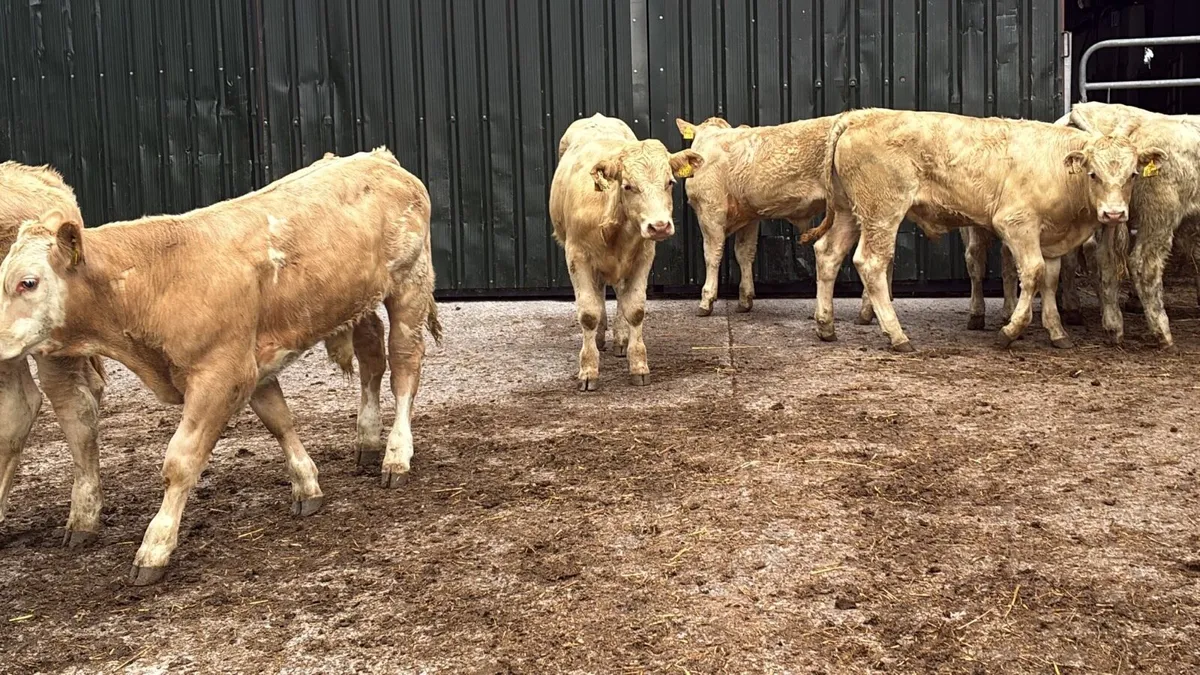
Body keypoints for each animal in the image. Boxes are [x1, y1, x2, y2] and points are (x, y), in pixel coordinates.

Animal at [550, 113, 702, 391]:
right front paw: (588, 370)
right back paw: (600, 338)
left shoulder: (643, 256)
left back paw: (620, 339)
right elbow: (588, 313)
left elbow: (635, 309)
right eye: (628, 186)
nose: (659, 226)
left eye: (670, 182)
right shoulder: (577, 257)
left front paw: (638, 364)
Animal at [673, 115, 837, 316]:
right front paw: (745, 300)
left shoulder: (710, 211)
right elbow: (744, 253)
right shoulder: (749, 217)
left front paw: (706, 301)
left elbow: (712, 254)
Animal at [808, 108, 1163, 351]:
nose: (1114, 213)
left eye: (1133, 174)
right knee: (870, 263)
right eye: (1093, 174)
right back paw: (897, 335)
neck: (1057, 168)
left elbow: (1049, 280)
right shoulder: (1016, 224)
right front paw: (1011, 330)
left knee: (828, 254)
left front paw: (1057, 332)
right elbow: (1032, 274)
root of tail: (860, 115)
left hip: (849, 212)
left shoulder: (1052, 236)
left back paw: (826, 326)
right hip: (882, 212)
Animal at [1056, 101, 1200, 348]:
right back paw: (1162, 332)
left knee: (1101, 260)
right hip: (1158, 217)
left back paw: (1112, 326)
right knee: (1143, 264)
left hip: (1109, 216)